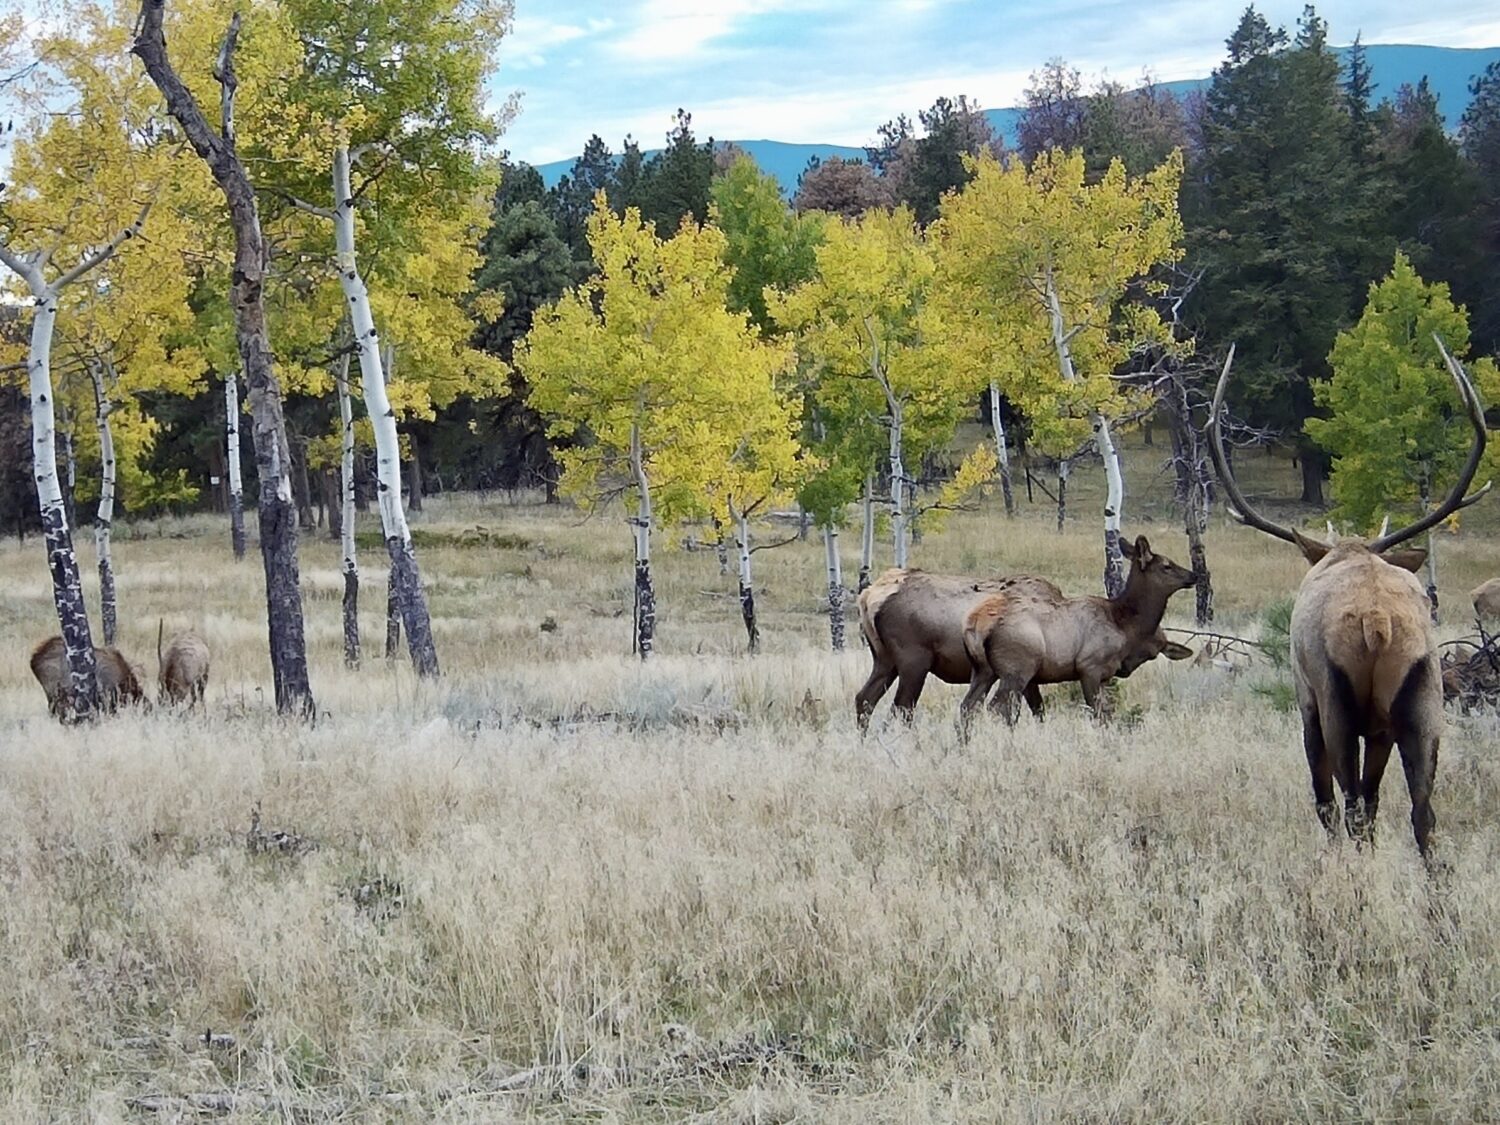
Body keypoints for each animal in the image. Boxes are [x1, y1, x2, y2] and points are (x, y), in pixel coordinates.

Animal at [855, 560, 1194, 732]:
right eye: (1153, 647)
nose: (1124, 669)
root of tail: (869, 596)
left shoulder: (1029, 677)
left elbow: (1034, 713)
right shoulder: (1029, 673)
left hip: (884, 660)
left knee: (864, 699)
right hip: (914, 662)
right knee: (901, 709)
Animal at [1208, 341, 1489, 859]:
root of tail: (1377, 622)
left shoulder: (1306, 699)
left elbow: (1326, 799)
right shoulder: (1379, 727)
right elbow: (1377, 801)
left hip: (1334, 697)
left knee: (1349, 801)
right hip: (1424, 697)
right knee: (1422, 814)